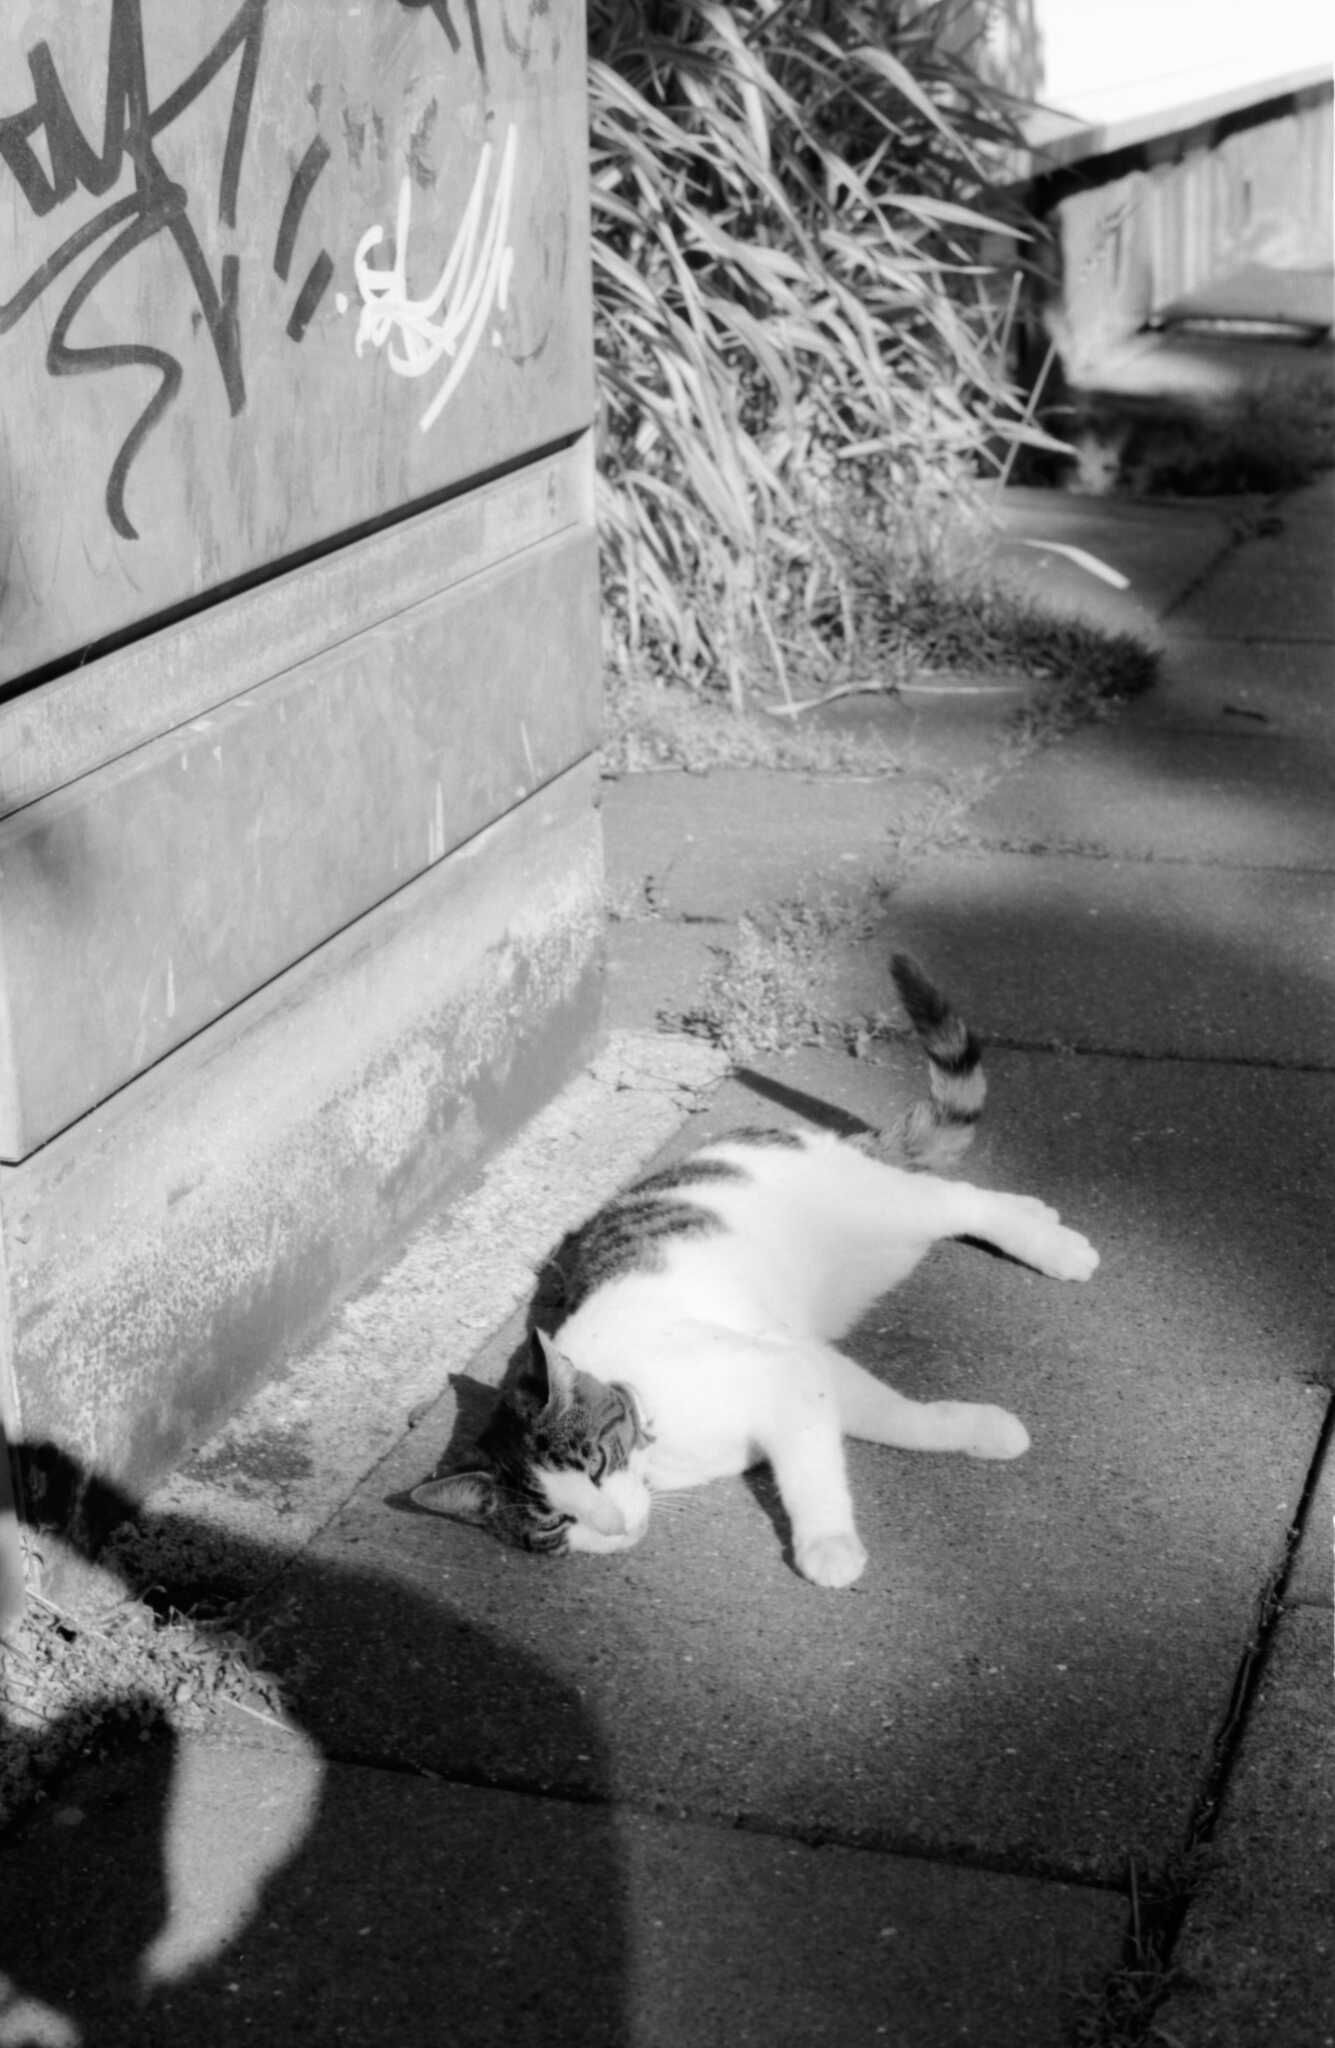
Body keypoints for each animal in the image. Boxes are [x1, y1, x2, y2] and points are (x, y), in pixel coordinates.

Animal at [411, 950, 1097, 1589]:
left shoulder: (783, 1370)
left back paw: (1057, 1247)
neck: (657, 1428)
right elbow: (884, 1416)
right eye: (557, 1521)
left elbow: (827, 1461)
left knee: (960, 1199)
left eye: (597, 1465)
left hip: (871, 1207)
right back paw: (1039, 1215)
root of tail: (807, 1140)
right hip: (879, 1253)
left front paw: (827, 1544)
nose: (613, 1525)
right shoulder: (810, 1368)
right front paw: (979, 1431)